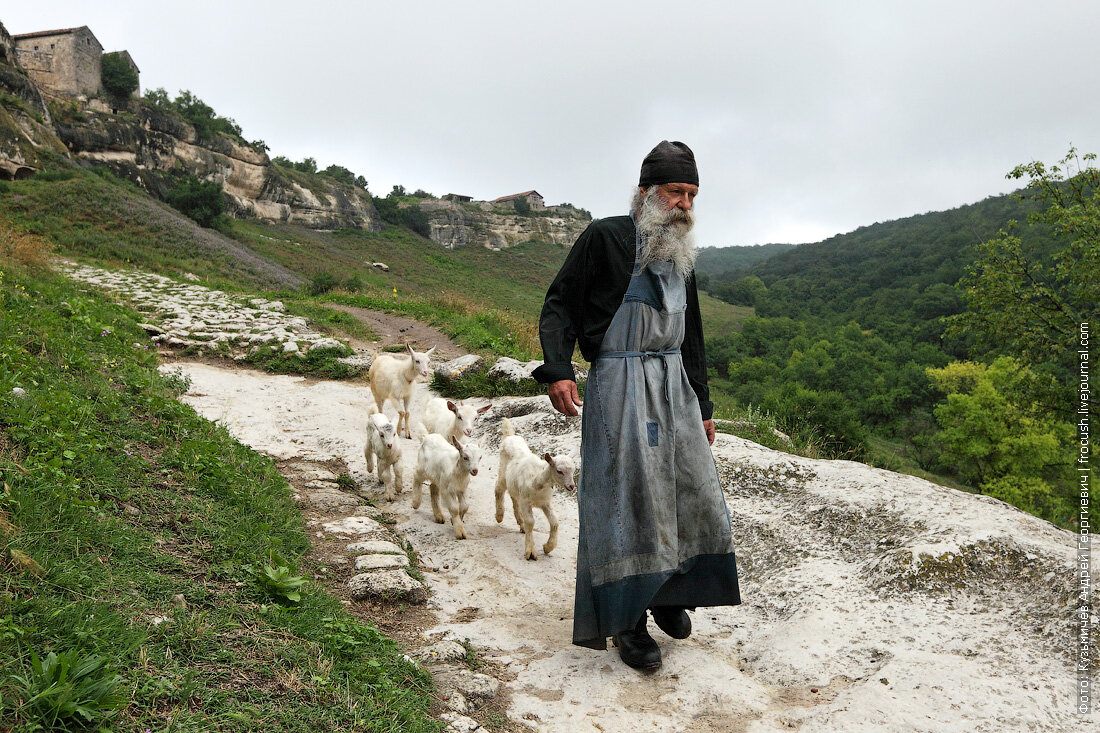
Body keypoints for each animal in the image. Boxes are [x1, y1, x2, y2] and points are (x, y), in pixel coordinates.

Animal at [492, 416, 576, 559]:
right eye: (559, 471)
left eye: (573, 470)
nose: (571, 486)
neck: (537, 480)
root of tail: (509, 436)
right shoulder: (526, 501)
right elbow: (531, 522)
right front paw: (530, 552)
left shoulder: (545, 502)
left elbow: (555, 522)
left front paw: (548, 547)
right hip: (502, 472)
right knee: (498, 489)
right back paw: (499, 515)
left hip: (515, 485)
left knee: (514, 497)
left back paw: (520, 523)